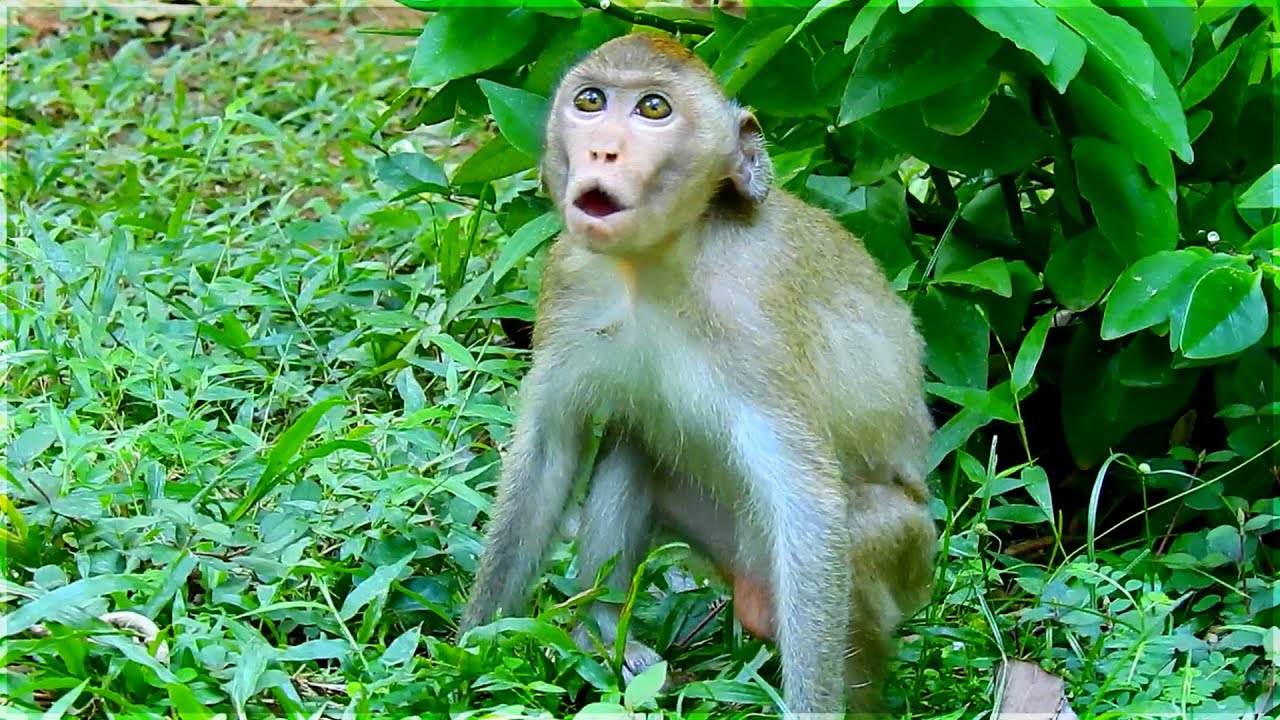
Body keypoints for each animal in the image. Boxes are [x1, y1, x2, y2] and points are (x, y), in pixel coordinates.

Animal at [458, 33, 938, 717]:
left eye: (653, 109)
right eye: (590, 101)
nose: (602, 149)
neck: (655, 262)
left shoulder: (755, 313)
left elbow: (809, 504)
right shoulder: (568, 277)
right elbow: (551, 451)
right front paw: (470, 654)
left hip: (906, 557)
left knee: (859, 532)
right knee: (634, 448)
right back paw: (603, 634)